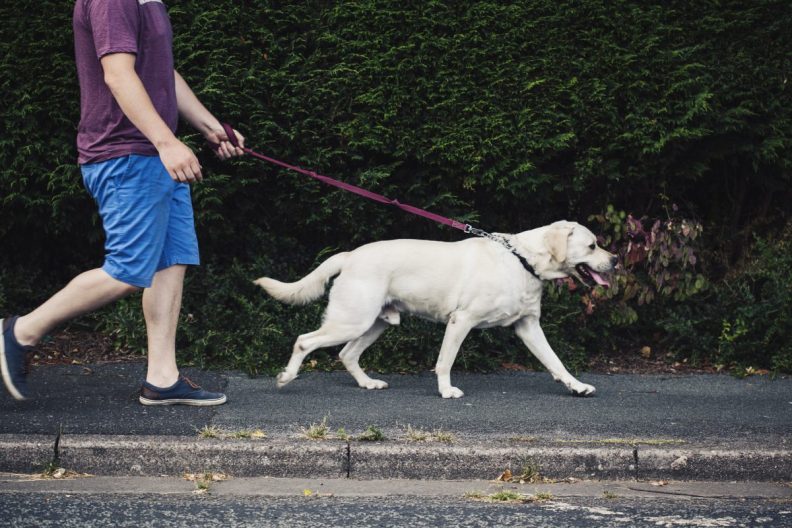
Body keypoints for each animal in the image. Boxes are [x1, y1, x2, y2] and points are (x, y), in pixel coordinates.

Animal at [256, 221, 616, 398]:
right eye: (592, 245)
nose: (614, 260)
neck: (522, 259)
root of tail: (349, 255)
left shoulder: (528, 326)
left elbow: (556, 362)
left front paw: (577, 386)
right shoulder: (461, 320)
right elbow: (445, 362)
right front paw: (445, 390)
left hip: (374, 324)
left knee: (347, 354)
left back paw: (368, 383)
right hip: (351, 320)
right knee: (305, 341)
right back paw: (286, 378)